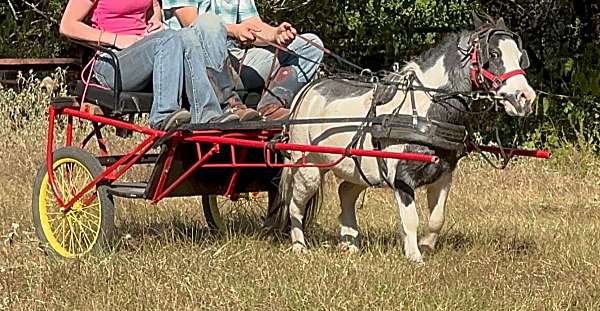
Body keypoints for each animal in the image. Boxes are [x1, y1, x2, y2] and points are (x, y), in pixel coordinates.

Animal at [264, 14, 536, 264]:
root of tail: (307, 91)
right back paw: (300, 246)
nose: (526, 97)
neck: (424, 113)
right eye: (494, 54)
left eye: (519, 56)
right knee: (295, 204)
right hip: (307, 167)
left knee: (346, 192)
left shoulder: (445, 175)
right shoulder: (402, 177)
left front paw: (425, 246)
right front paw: (415, 256)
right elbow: (411, 219)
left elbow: (437, 218)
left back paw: (350, 242)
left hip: (359, 167)